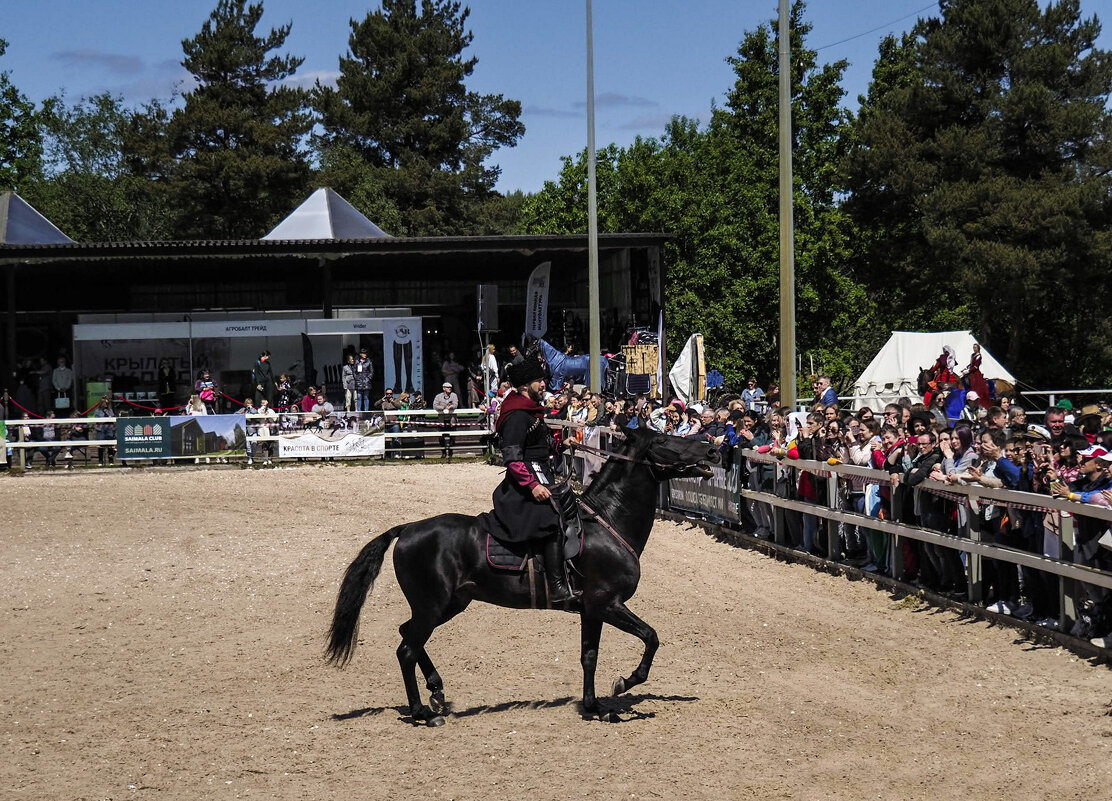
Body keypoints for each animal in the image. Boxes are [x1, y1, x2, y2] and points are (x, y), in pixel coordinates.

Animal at [324, 424, 716, 725]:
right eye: (664, 440)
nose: (713, 450)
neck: (607, 522)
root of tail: (407, 530)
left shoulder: (591, 610)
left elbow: (589, 656)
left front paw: (596, 708)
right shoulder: (607, 603)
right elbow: (651, 637)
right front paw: (625, 683)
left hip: (448, 604)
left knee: (408, 637)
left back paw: (436, 690)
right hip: (433, 606)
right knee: (407, 649)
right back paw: (423, 712)